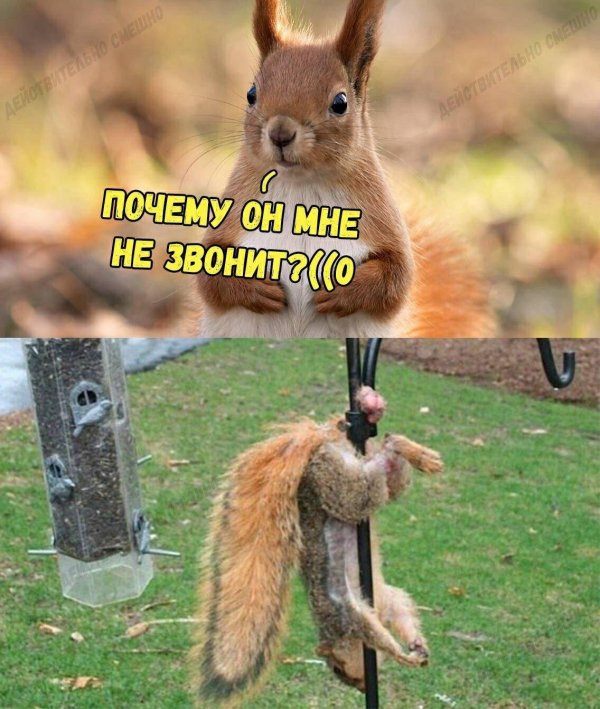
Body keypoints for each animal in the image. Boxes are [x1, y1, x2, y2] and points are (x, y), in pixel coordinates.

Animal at [191, 386, 443, 706]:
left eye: (338, 668)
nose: (360, 688)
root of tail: (317, 445)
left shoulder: (342, 613)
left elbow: (377, 629)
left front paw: (400, 653)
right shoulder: (379, 603)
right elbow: (400, 612)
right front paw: (414, 647)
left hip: (336, 481)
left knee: (378, 462)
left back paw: (389, 426)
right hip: (352, 474)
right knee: (386, 463)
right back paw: (395, 432)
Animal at [192, 0, 495, 338]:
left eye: (340, 103)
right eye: (251, 94)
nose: (280, 133)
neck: (302, 187)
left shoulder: (382, 221)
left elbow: (397, 276)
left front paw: (341, 292)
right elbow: (209, 274)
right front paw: (256, 288)